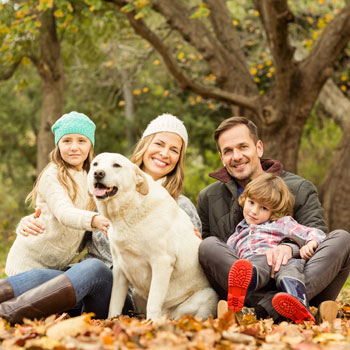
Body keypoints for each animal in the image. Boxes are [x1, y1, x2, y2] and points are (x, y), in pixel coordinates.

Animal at [88, 152, 216, 320]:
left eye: (116, 165)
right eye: (95, 164)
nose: (98, 173)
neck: (128, 210)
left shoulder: (161, 262)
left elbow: (153, 303)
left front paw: (152, 324)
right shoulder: (120, 268)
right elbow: (114, 304)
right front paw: (111, 321)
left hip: (207, 296)